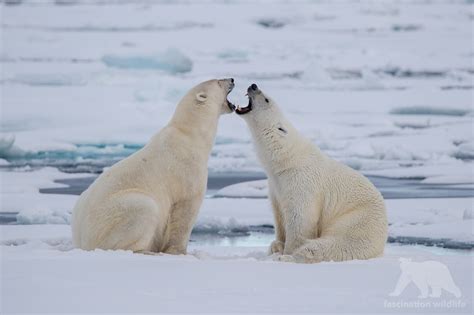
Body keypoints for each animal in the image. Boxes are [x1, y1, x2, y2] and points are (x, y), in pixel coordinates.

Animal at [71, 78, 235, 254]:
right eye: (218, 82)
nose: (232, 79)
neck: (190, 135)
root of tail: (83, 242)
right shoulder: (188, 168)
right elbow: (186, 209)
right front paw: (179, 251)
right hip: (116, 216)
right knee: (145, 209)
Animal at [237, 84, 388, 264]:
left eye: (266, 99)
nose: (253, 86)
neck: (288, 159)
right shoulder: (275, 185)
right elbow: (279, 214)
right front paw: (277, 245)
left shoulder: (302, 181)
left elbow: (300, 219)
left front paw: (286, 251)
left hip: (357, 224)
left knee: (330, 247)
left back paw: (289, 258)